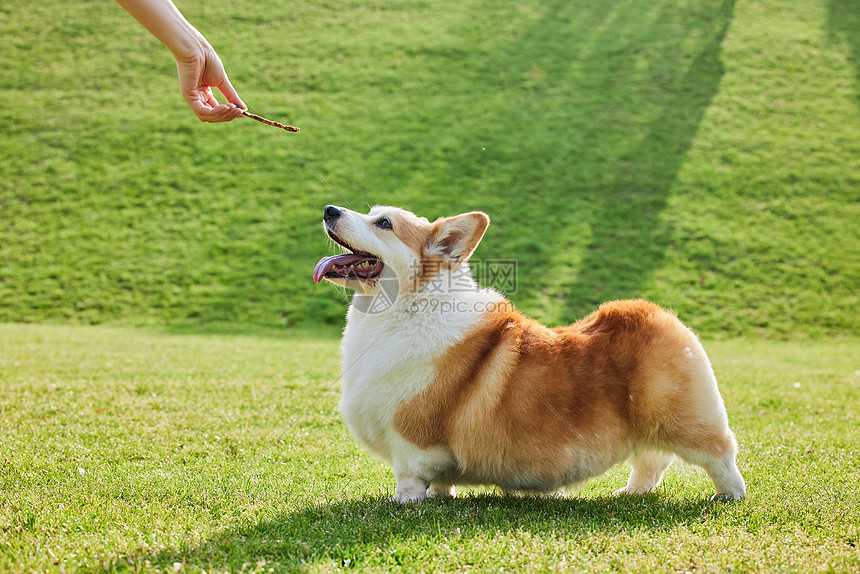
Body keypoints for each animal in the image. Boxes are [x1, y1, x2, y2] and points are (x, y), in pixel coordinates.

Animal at [312, 206, 744, 504]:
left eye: (383, 223)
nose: (330, 210)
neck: (406, 307)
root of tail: (655, 313)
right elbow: (440, 480)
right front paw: (440, 495)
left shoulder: (411, 436)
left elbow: (410, 474)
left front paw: (404, 501)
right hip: (648, 427)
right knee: (651, 461)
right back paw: (631, 493)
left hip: (688, 419)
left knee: (720, 456)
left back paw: (729, 496)